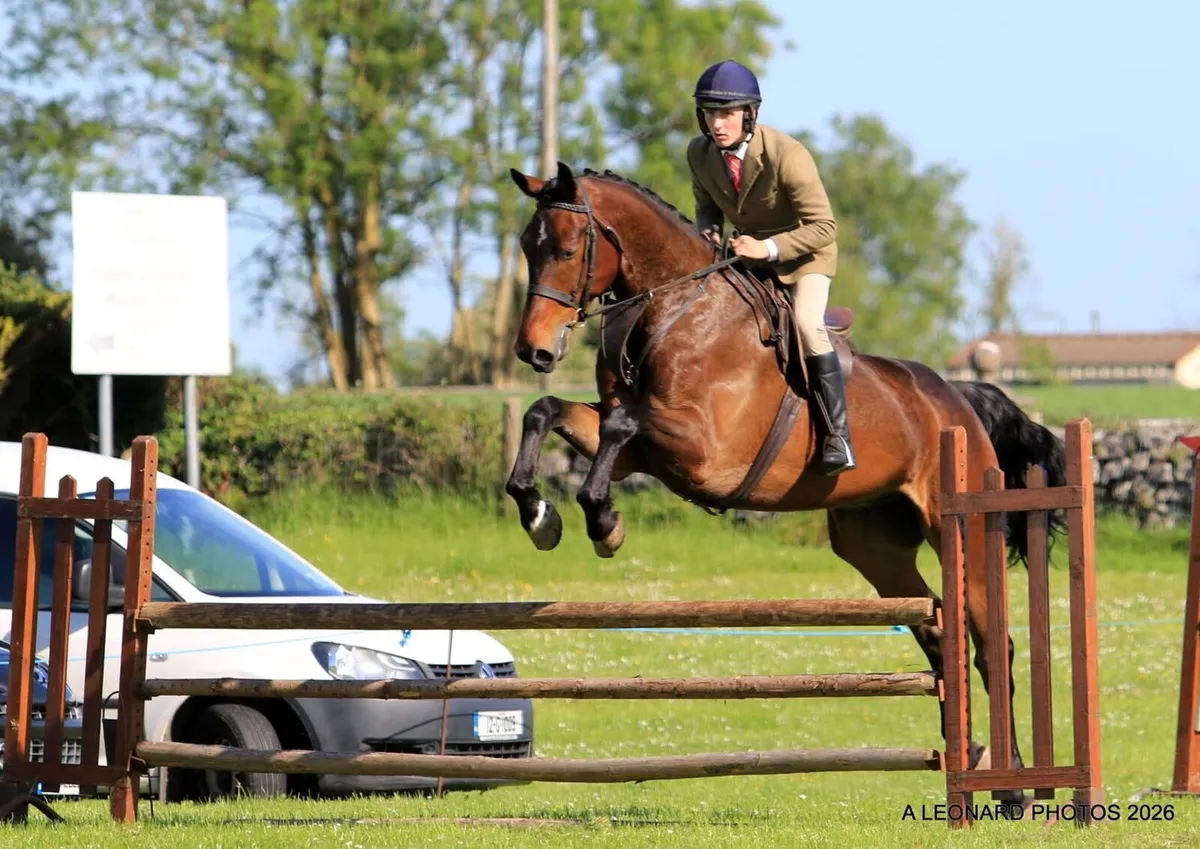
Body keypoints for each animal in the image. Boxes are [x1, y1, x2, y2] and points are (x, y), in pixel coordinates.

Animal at [502, 160, 1068, 808]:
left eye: (568, 249)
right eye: (527, 247)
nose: (534, 350)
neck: (673, 308)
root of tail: (959, 398)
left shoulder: (704, 451)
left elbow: (622, 424)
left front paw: (603, 523)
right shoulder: (631, 450)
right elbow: (546, 412)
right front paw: (540, 514)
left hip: (964, 531)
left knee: (991, 644)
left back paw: (1014, 784)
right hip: (874, 546)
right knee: (936, 630)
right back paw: (964, 756)